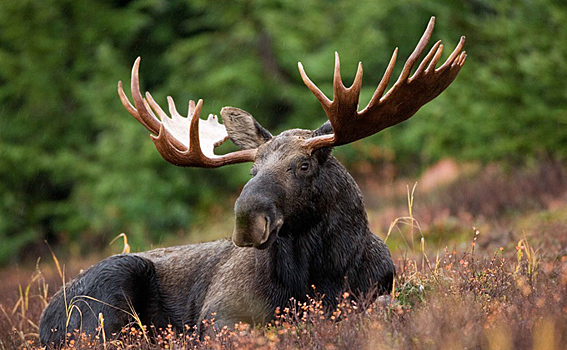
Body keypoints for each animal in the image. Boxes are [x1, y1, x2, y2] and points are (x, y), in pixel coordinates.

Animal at [38, 17, 466, 346]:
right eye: (252, 170)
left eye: (303, 165)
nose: (247, 220)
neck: (321, 273)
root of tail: (43, 322)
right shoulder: (219, 314)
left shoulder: (377, 291)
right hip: (109, 291)